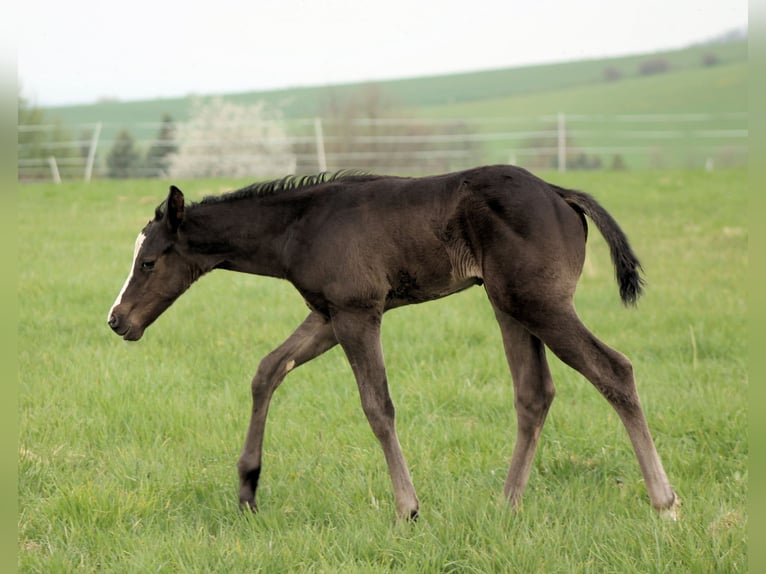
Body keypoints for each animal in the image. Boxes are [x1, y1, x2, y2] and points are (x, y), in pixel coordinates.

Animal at [107, 164, 678, 520]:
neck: (301, 225)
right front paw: (248, 489)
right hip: (509, 306)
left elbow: (377, 406)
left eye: (148, 262)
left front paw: (408, 508)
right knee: (534, 393)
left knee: (613, 370)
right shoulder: (328, 315)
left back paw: (664, 501)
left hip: (540, 305)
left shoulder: (359, 313)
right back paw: (507, 505)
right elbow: (267, 370)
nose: (117, 320)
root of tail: (560, 193)